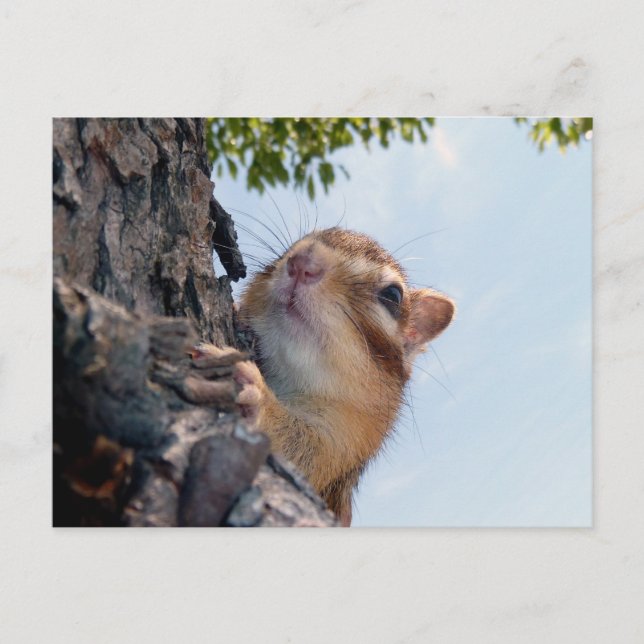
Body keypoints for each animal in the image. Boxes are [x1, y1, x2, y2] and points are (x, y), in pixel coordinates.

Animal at [195, 227, 454, 526]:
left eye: (392, 295)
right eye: (300, 240)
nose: (303, 261)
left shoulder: (344, 444)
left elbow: (300, 451)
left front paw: (254, 394)